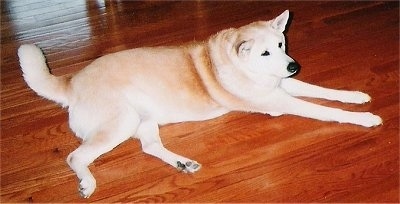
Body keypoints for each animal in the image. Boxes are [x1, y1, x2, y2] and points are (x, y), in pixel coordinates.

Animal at [18, 9, 382, 198]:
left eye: (281, 45)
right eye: (265, 52)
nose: (293, 65)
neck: (240, 66)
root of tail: (71, 81)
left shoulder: (282, 84)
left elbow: (324, 90)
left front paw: (356, 95)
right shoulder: (277, 98)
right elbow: (324, 109)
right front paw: (365, 118)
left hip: (143, 119)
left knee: (149, 146)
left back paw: (183, 163)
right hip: (120, 122)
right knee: (75, 156)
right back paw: (87, 182)